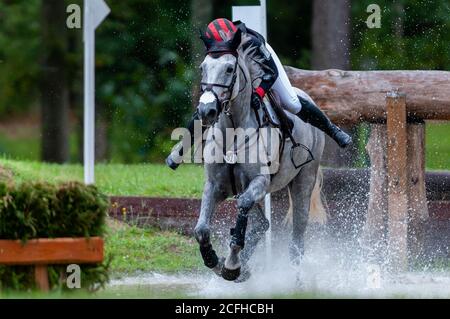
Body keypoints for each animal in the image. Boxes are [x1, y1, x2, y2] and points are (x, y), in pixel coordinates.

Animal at [193, 38, 324, 282]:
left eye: (229, 69)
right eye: (202, 68)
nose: (206, 110)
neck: (233, 131)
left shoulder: (260, 182)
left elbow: (243, 210)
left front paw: (232, 264)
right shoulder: (216, 185)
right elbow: (201, 229)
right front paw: (216, 262)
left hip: (304, 181)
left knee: (297, 239)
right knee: (262, 223)